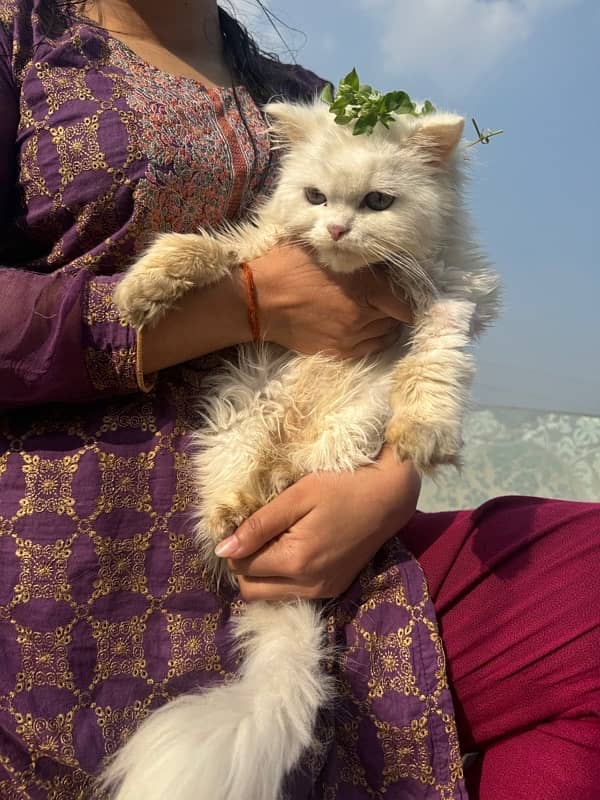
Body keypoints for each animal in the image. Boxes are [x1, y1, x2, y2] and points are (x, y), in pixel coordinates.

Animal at [102, 95, 502, 800]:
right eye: (316, 197)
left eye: (377, 202)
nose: (337, 230)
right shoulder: (259, 244)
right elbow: (206, 249)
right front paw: (142, 290)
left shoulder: (448, 299)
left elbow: (434, 367)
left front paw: (427, 435)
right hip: (243, 423)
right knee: (237, 499)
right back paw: (235, 514)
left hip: (343, 430)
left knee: (288, 478)